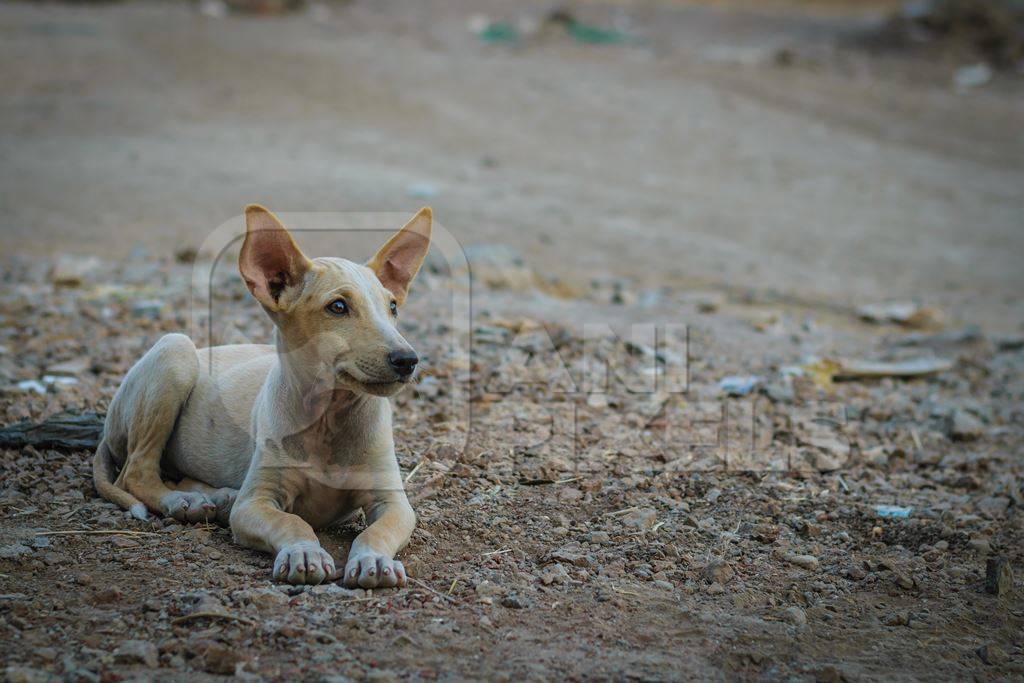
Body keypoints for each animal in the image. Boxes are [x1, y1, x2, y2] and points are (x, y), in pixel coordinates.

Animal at [94, 208, 430, 589]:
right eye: (338, 306)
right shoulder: (254, 503)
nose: (408, 360)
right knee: (135, 473)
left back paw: (214, 495)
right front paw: (304, 552)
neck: (328, 419)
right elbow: (292, 521)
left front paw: (373, 559)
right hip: (175, 352)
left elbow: (377, 531)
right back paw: (183, 501)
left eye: (393, 307)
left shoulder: (393, 502)